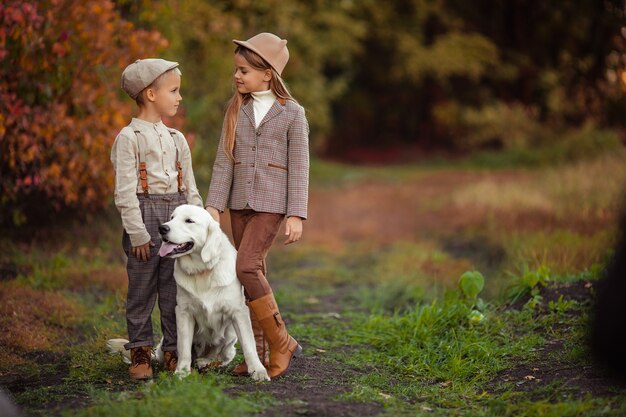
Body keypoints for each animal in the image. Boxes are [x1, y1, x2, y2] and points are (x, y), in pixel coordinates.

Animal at [156, 205, 268, 380]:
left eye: (189, 220)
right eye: (172, 217)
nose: (162, 228)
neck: (202, 270)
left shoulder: (239, 311)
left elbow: (249, 344)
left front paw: (258, 370)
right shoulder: (183, 312)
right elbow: (184, 347)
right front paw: (182, 371)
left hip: (230, 333)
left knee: (223, 354)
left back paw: (205, 361)